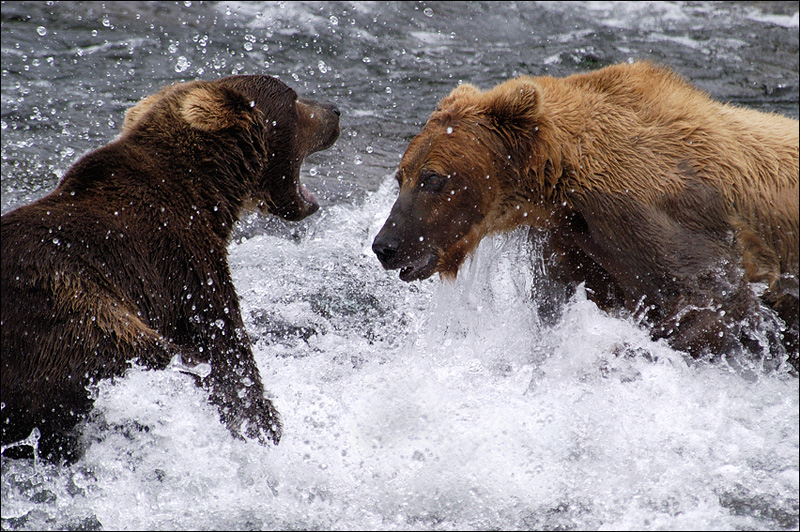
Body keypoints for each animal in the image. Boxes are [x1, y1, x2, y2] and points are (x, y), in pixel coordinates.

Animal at [0, 75, 340, 462]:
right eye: (295, 101)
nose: (335, 111)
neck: (209, 195)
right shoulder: (184, 263)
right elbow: (226, 353)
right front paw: (263, 426)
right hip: (70, 313)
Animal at [376, 61, 800, 370]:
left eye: (432, 179)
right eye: (401, 178)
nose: (385, 245)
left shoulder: (657, 215)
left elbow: (716, 300)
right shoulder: (572, 245)